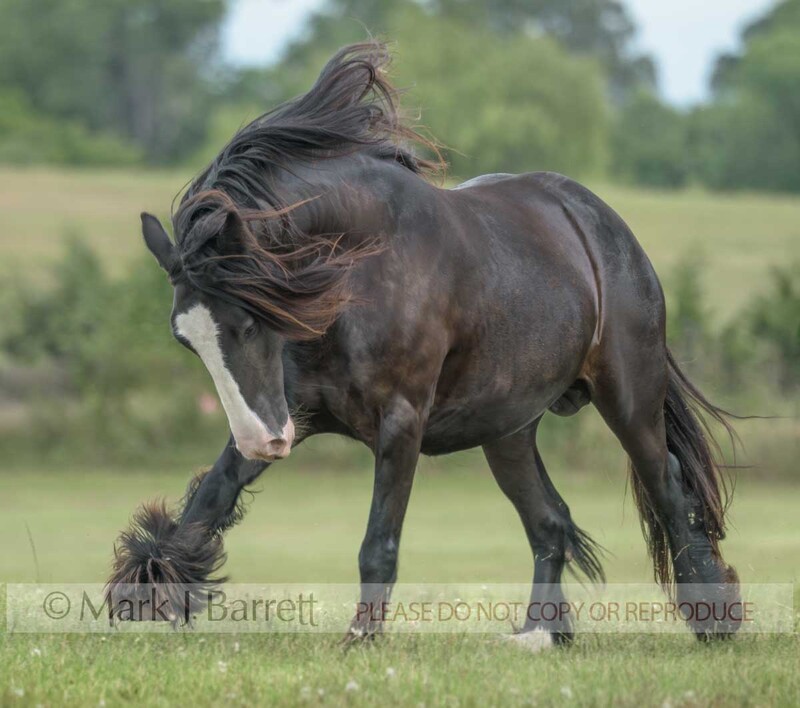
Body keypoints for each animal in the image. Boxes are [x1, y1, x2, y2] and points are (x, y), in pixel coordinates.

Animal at [107, 42, 740, 645]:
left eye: (248, 322)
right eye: (187, 340)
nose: (264, 443)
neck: (361, 273)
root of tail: (605, 229)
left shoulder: (400, 421)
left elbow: (378, 544)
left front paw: (361, 636)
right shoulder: (295, 410)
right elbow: (209, 500)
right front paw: (147, 588)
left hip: (628, 398)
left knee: (668, 489)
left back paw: (712, 617)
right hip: (507, 430)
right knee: (551, 522)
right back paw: (540, 634)